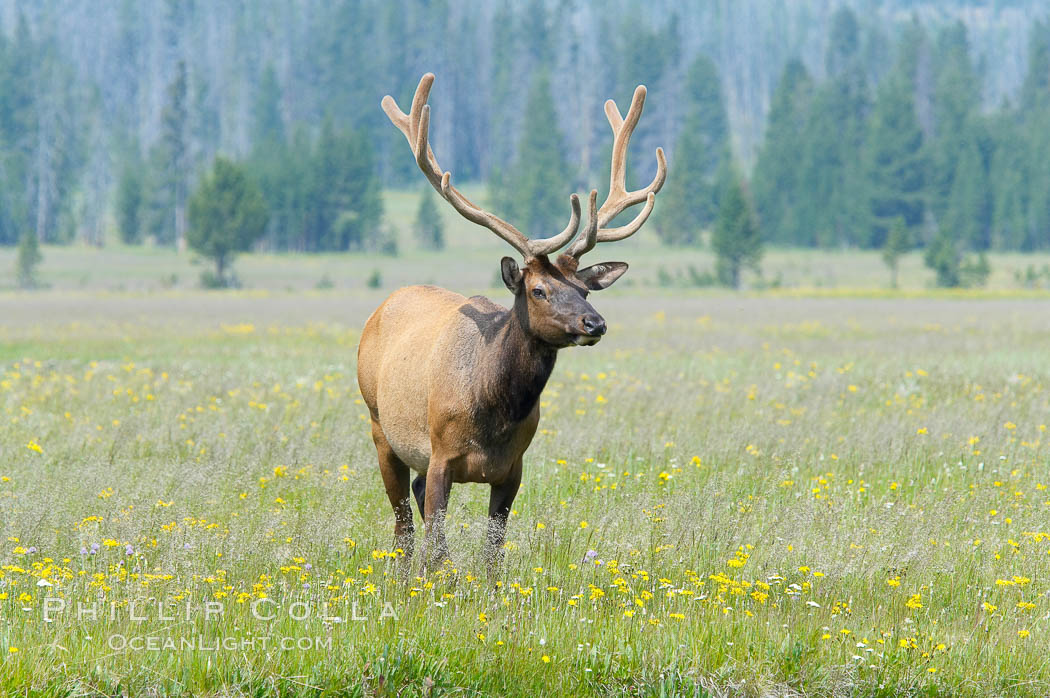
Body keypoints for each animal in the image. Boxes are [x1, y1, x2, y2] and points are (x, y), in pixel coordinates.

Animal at [354, 71, 663, 570]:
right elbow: (438, 549)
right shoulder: (440, 455)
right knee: (403, 527)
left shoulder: (513, 468)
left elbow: (492, 553)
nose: (594, 324)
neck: (491, 412)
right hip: (380, 426)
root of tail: (382, 307)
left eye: (584, 290)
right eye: (538, 290)